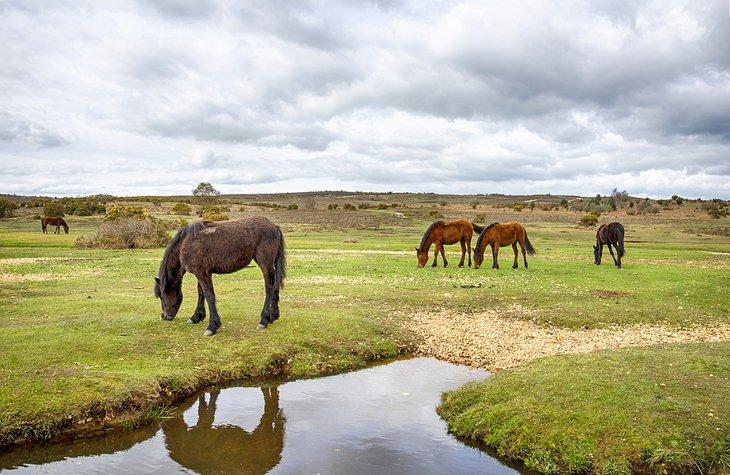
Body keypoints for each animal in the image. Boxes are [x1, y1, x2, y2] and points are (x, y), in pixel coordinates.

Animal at [154, 216, 286, 335]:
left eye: (162, 295)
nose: (165, 316)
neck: (186, 243)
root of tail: (274, 226)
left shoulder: (202, 273)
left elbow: (209, 296)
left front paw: (212, 326)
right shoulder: (201, 273)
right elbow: (201, 294)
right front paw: (196, 317)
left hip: (265, 263)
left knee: (270, 287)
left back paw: (264, 320)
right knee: (275, 284)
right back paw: (273, 316)